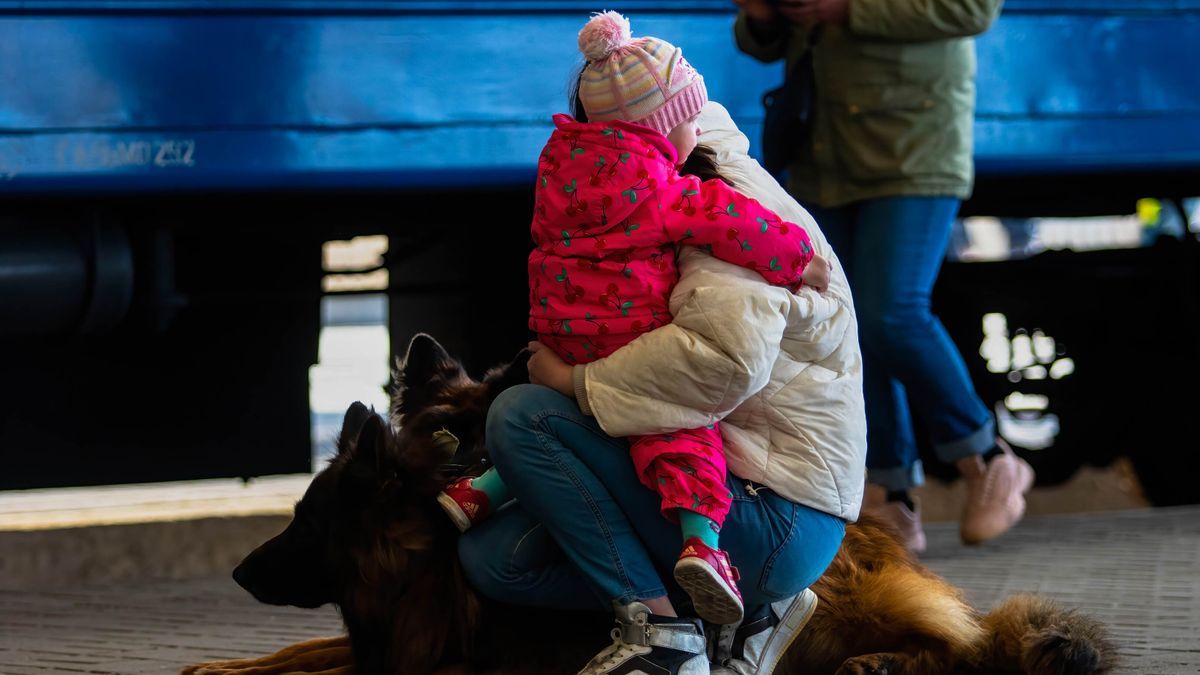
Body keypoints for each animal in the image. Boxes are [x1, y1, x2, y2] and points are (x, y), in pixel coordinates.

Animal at [187, 331, 1113, 672]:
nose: (234, 572)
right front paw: (219, 662)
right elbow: (295, 650)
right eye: (448, 434)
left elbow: (319, 660)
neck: (414, 560)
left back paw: (880, 660)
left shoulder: (436, 662)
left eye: (304, 523)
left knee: (970, 650)